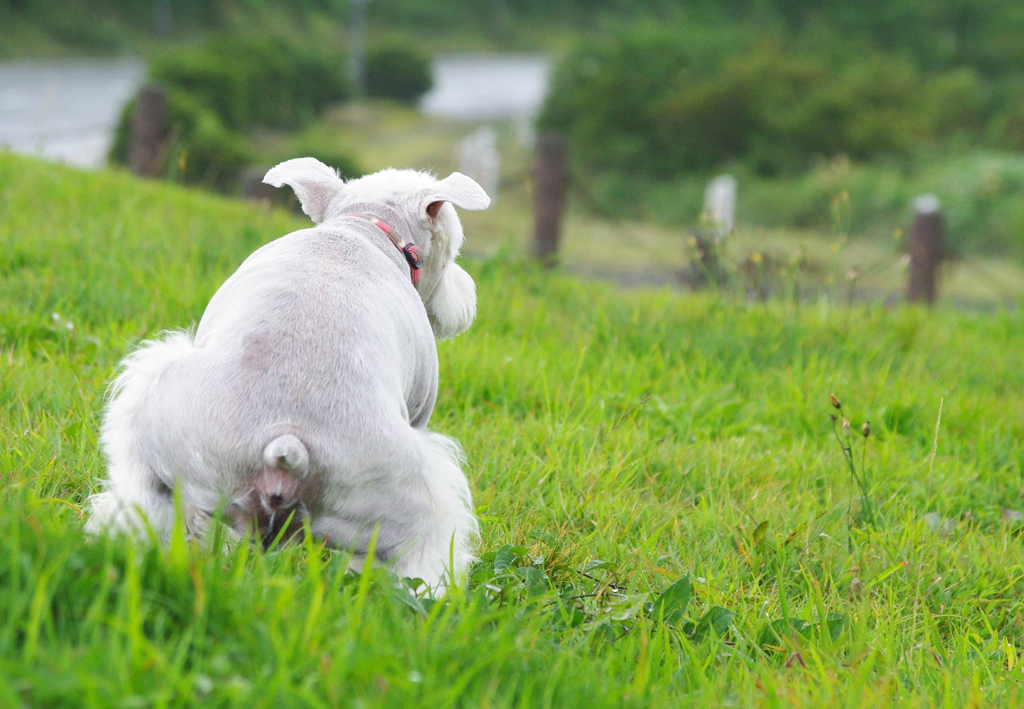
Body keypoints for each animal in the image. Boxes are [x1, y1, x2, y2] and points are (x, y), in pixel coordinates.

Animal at [84, 157, 491, 590]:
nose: (468, 298)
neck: (366, 227)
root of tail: (286, 445)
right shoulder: (420, 410)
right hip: (417, 512)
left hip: (165, 468)